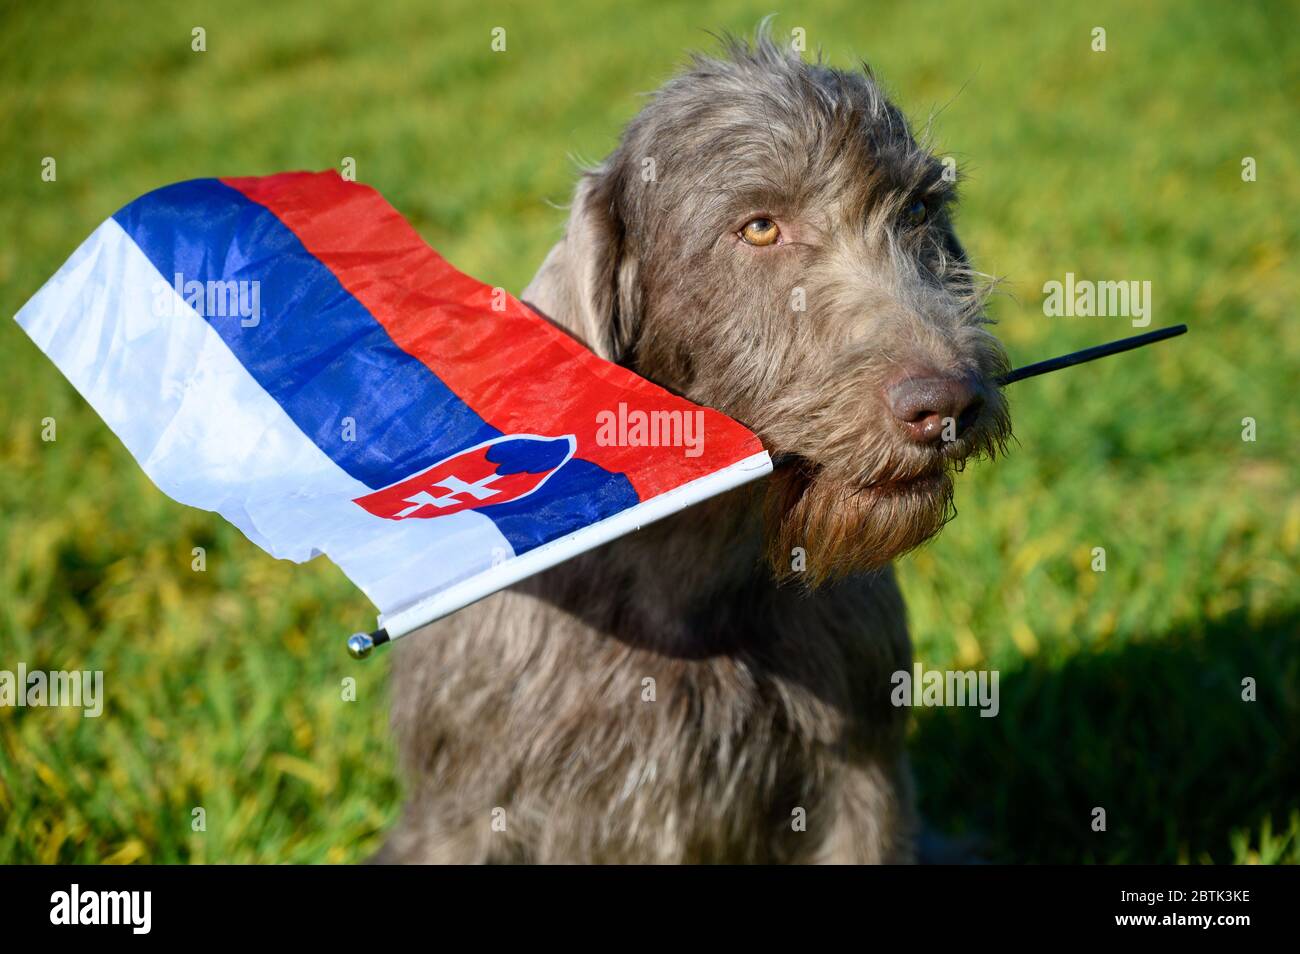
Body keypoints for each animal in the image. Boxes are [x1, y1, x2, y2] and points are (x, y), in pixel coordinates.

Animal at [371, 27, 1008, 868]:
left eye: (920, 208)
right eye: (760, 226)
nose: (948, 402)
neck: (687, 582)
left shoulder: (862, 780)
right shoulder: (464, 813)